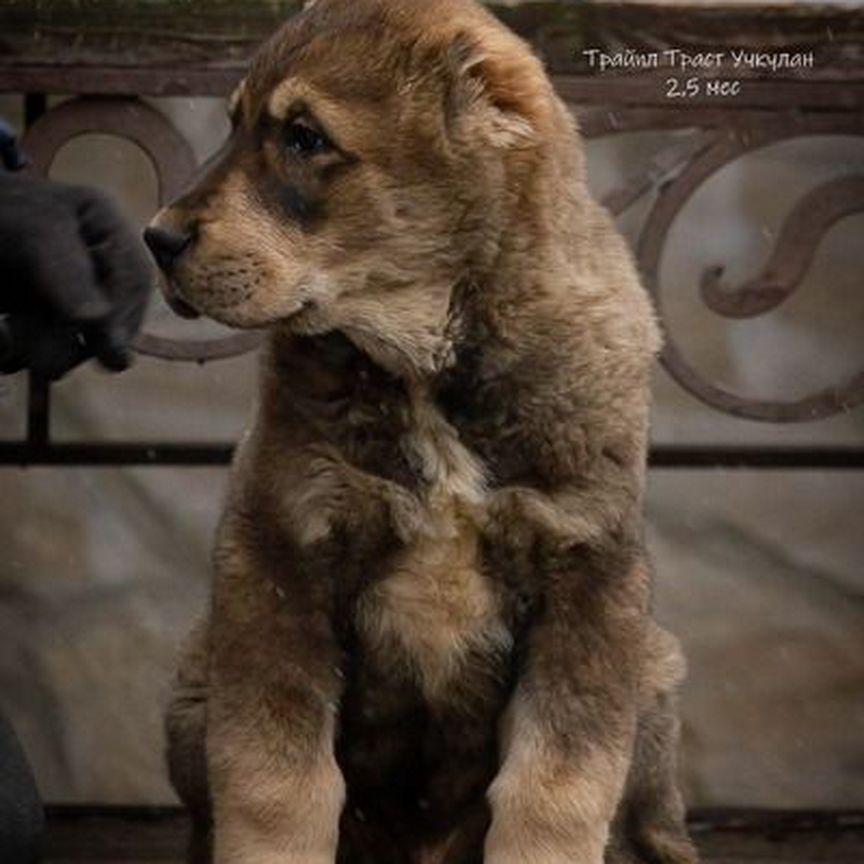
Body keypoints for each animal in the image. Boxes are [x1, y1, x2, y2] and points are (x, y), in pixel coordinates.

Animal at [150, 1, 704, 864]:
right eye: (234, 124)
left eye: (304, 136)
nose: (157, 238)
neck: (428, 365)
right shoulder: (279, 550)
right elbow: (278, 782)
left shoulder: (587, 573)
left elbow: (557, 787)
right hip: (194, 682)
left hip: (652, 670)